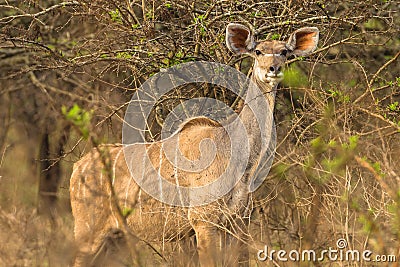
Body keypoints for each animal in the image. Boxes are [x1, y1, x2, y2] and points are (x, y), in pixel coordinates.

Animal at [69, 24, 318, 266]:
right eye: (258, 51)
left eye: (284, 52)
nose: (273, 69)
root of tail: (77, 167)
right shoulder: (203, 221)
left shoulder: (237, 222)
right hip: (88, 233)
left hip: (116, 238)